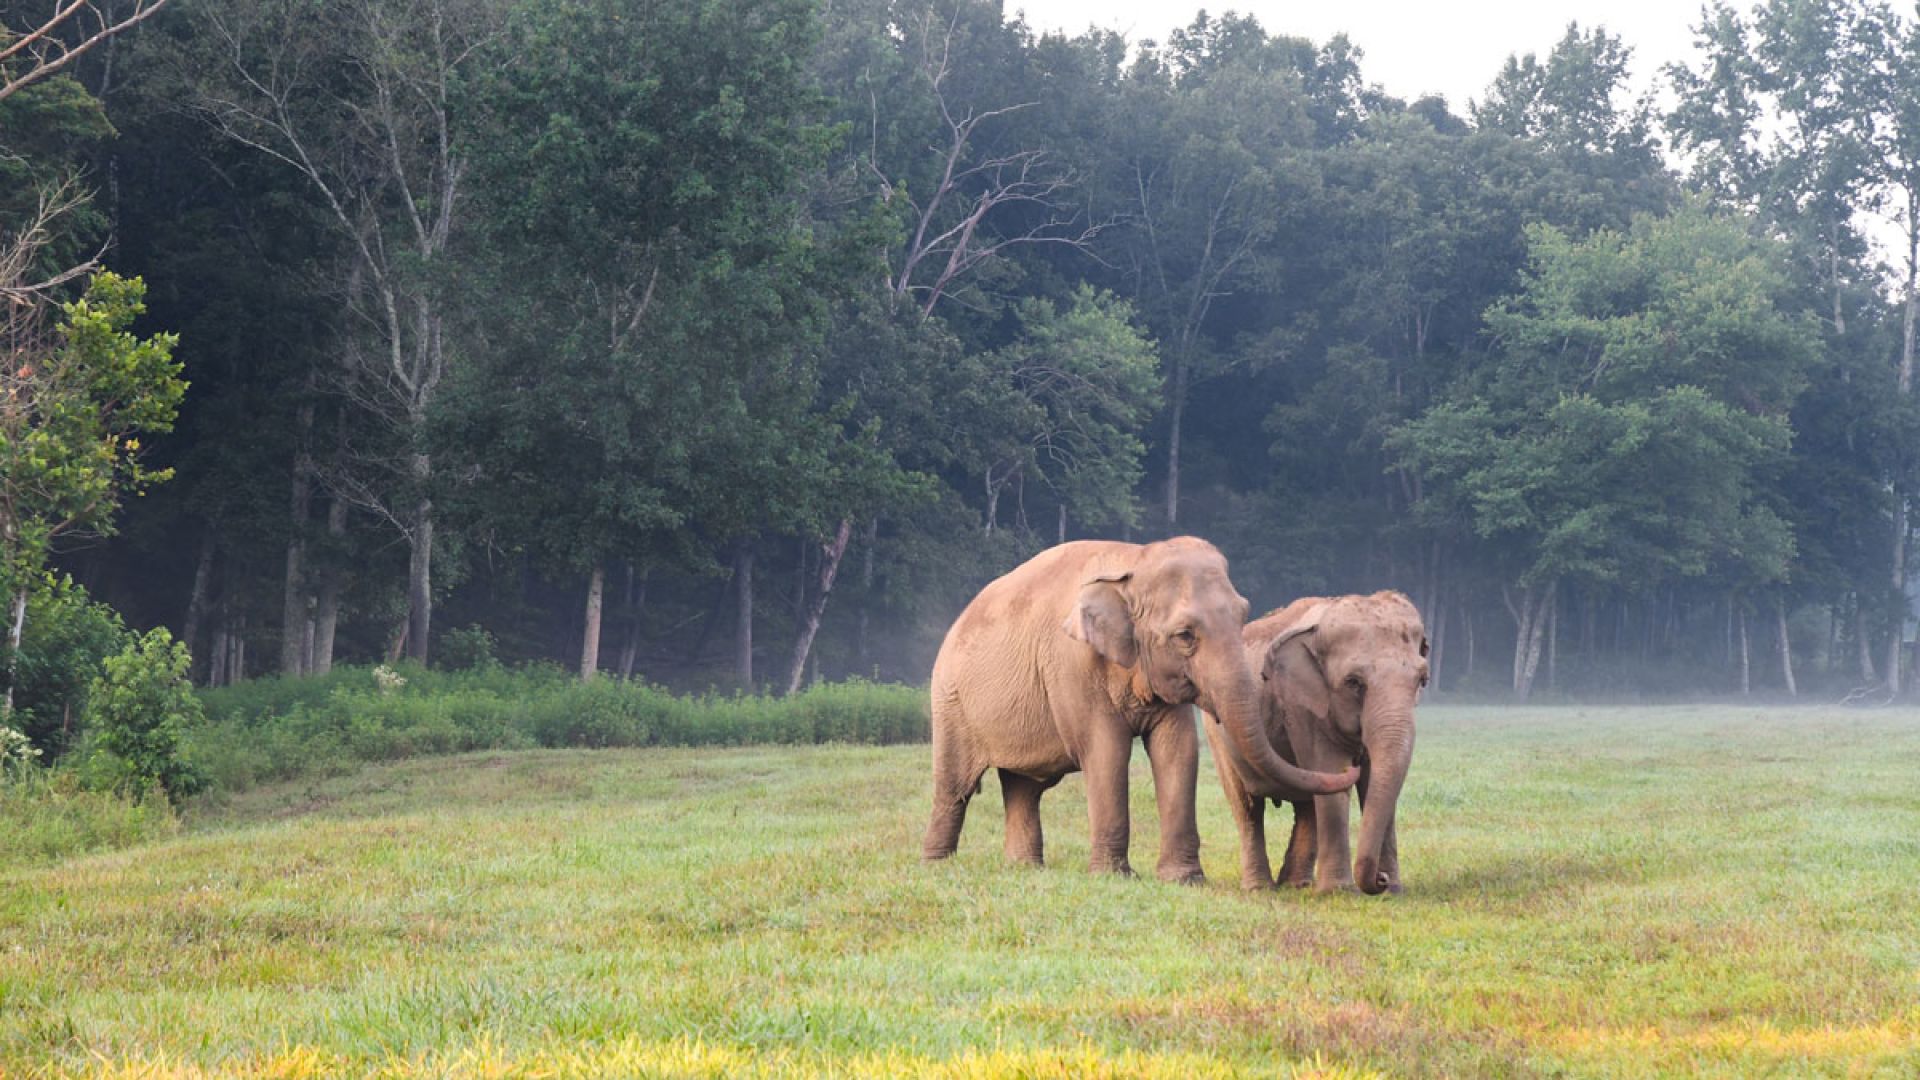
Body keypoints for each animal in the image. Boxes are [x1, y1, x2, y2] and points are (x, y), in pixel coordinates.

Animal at [921, 537, 1360, 882]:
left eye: (1243, 616)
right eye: (1184, 636)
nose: (1354, 766)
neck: (1134, 560)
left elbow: (1178, 749)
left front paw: (1185, 879)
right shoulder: (1072, 664)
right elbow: (1106, 751)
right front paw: (1114, 877)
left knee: (1023, 788)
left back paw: (1025, 869)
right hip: (949, 700)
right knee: (955, 787)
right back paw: (938, 865)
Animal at [1202, 591, 1427, 895]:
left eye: (1422, 680)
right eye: (1353, 682)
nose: (1380, 879)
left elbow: (1373, 782)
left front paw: (1393, 891)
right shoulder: (1301, 703)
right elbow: (1331, 771)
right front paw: (1339, 892)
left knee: (1307, 805)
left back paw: (1297, 885)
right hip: (1217, 732)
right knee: (1247, 805)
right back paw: (1260, 889)